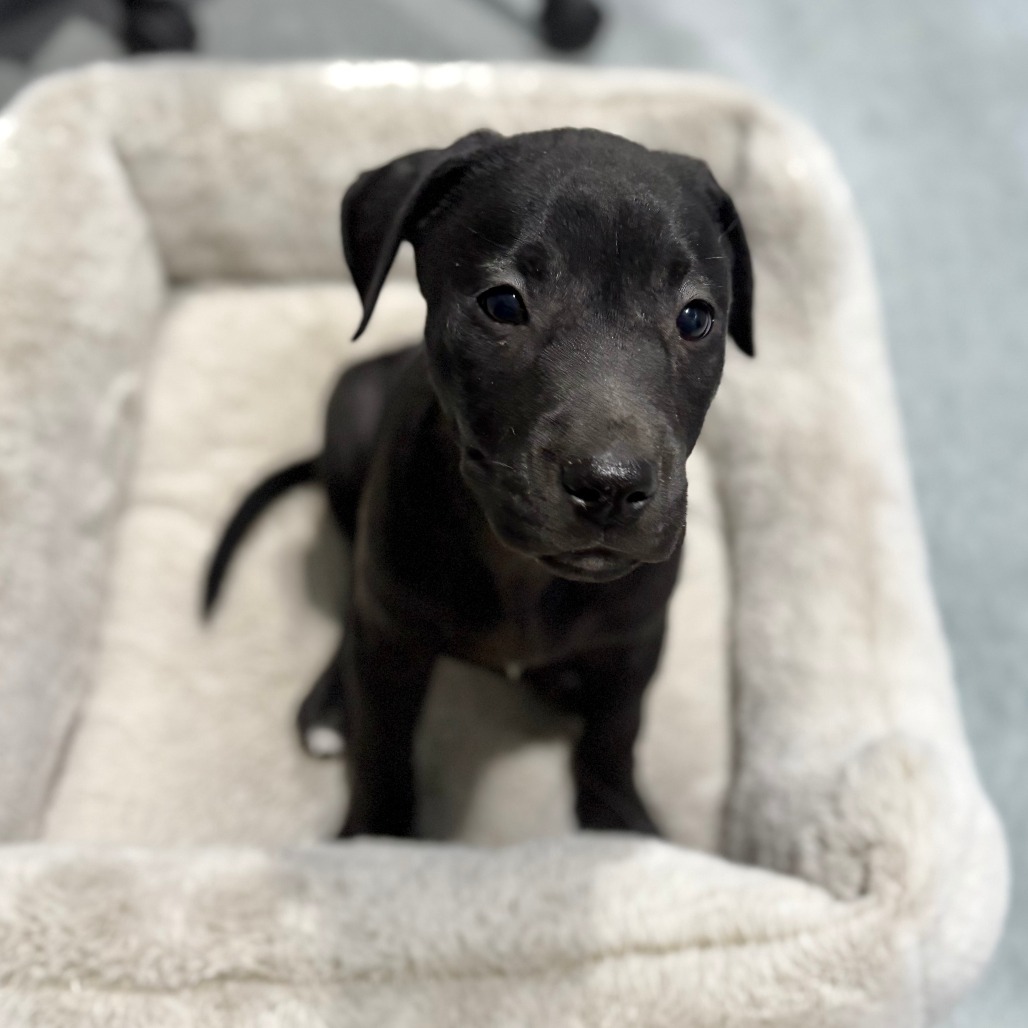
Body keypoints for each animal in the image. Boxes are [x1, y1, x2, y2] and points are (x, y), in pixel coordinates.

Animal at [204, 124, 752, 838]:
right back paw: (331, 703)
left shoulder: (636, 640)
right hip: (350, 418)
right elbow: (382, 744)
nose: (610, 486)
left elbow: (615, 733)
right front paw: (377, 836)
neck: (523, 572)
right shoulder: (392, 643)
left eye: (695, 318)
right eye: (502, 304)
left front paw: (619, 818)